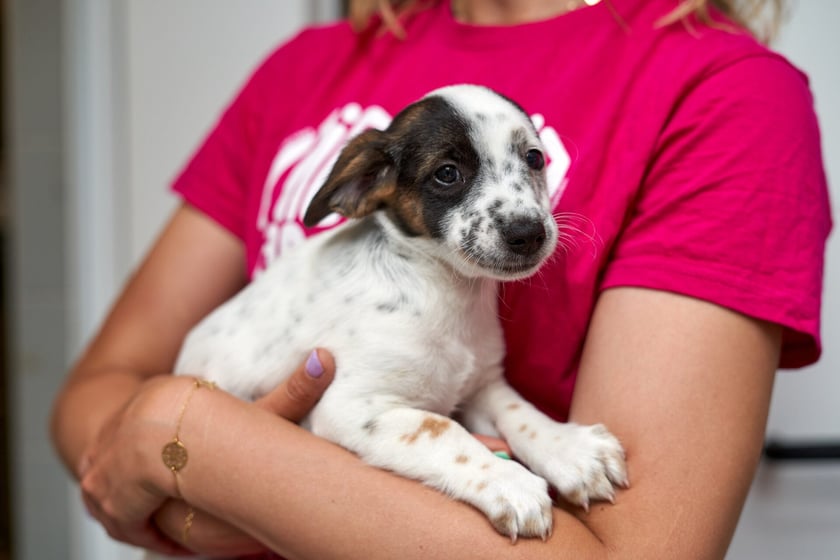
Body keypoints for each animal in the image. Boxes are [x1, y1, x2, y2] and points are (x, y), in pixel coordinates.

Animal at [174, 84, 628, 544]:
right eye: (447, 173)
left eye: (534, 158)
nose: (528, 233)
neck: (446, 293)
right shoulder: (349, 407)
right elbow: (443, 430)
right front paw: (509, 483)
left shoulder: (481, 385)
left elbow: (520, 412)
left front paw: (569, 449)